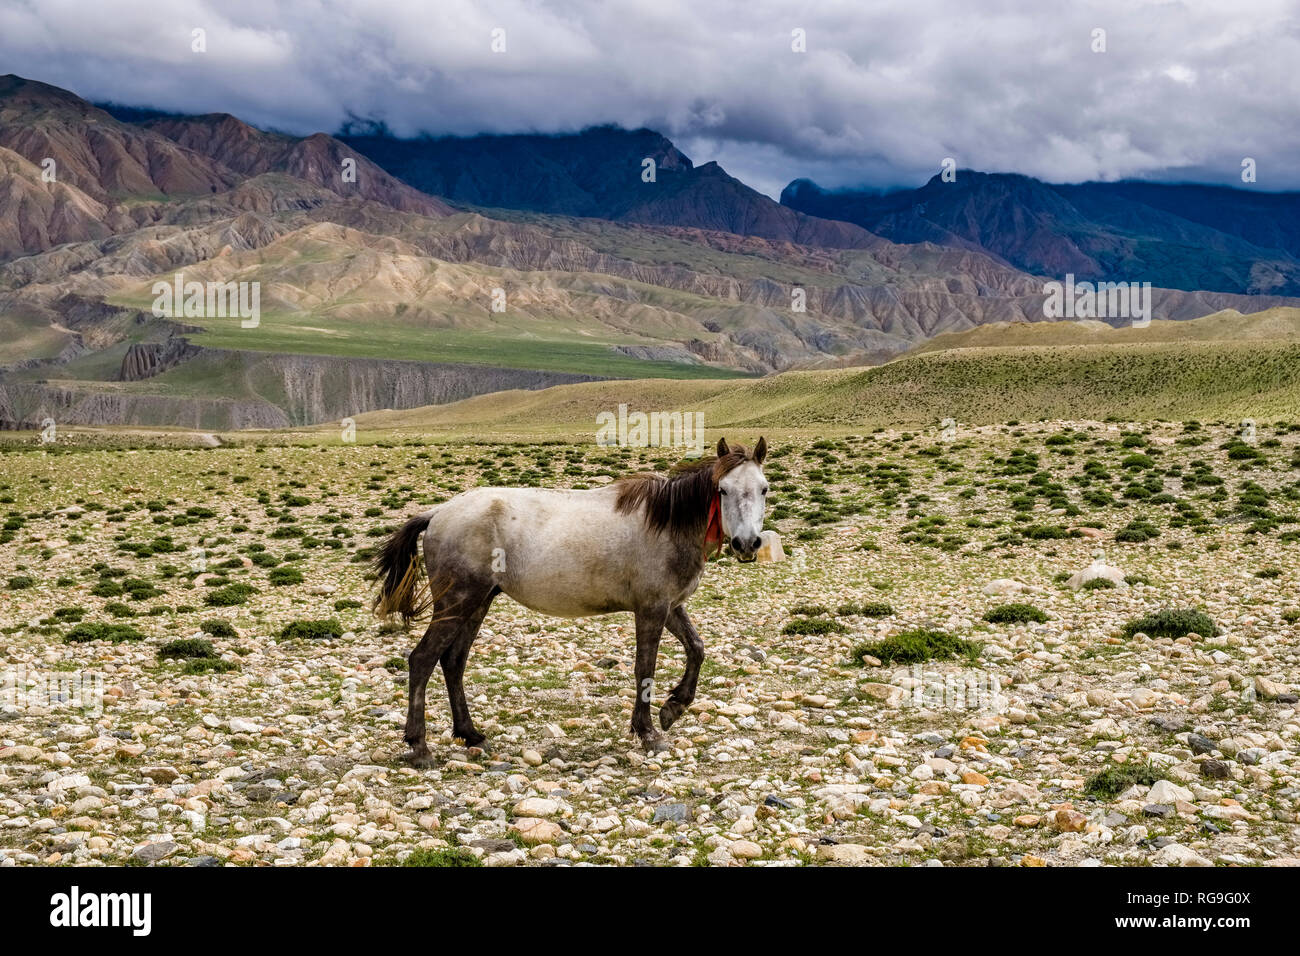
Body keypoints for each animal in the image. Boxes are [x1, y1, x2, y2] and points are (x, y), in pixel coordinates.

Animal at [372, 437, 769, 763]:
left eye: (764, 489)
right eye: (722, 489)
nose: (747, 544)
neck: (669, 523)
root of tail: (438, 513)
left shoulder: (671, 607)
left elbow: (697, 649)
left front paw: (673, 708)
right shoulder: (652, 609)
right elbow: (645, 668)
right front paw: (648, 732)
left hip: (477, 602)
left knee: (453, 662)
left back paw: (471, 735)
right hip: (457, 601)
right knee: (423, 659)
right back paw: (419, 746)